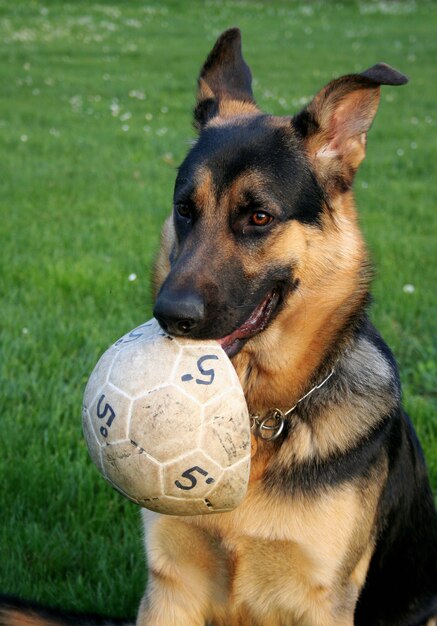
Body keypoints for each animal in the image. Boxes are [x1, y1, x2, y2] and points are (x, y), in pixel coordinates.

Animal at [0, 28, 436, 624]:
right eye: (185, 209)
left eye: (259, 217)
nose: (170, 315)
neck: (264, 416)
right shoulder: (171, 587)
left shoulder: (323, 601)